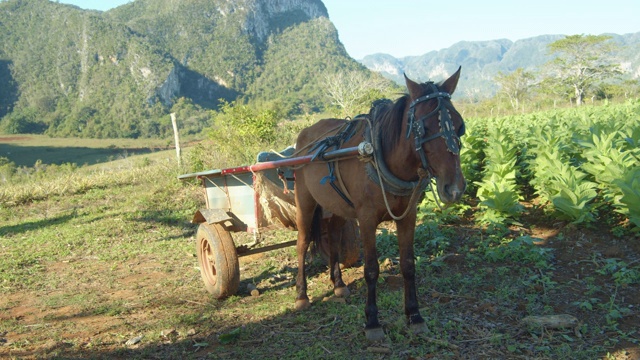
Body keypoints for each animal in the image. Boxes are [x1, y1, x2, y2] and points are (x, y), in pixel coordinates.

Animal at [294, 67, 464, 340]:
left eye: (460, 126)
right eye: (423, 127)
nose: (455, 188)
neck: (381, 154)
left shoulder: (408, 216)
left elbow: (408, 264)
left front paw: (414, 315)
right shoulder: (366, 219)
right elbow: (372, 269)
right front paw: (372, 321)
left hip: (337, 205)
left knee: (333, 236)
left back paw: (338, 284)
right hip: (304, 202)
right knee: (302, 242)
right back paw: (301, 295)